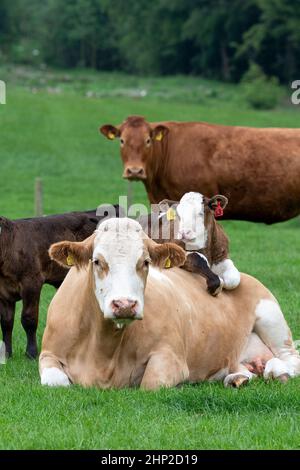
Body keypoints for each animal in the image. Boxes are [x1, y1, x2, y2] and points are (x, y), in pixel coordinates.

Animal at [39, 217, 300, 390]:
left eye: (145, 262)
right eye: (97, 261)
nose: (124, 304)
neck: (102, 350)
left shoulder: (170, 358)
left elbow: (151, 384)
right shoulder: (48, 354)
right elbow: (56, 382)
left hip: (271, 318)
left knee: (291, 359)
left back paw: (277, 370)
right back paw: (237, 377)